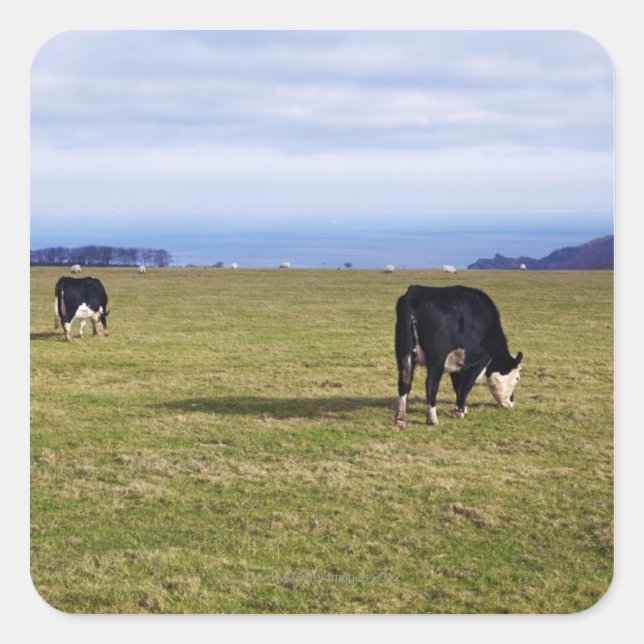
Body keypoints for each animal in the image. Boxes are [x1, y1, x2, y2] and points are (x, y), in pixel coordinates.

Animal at [394, 285, 522, 427]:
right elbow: (466, 385)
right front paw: (459, 411)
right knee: (431, 384)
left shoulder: (455, 364)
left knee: (404, 382)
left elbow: (458, 387)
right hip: (436, 359)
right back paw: (432, 419)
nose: (511, 403)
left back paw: (400, 419)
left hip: (404, 353)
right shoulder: (480, 361)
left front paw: (461, 408)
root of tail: (415, 293)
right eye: (517, 379)